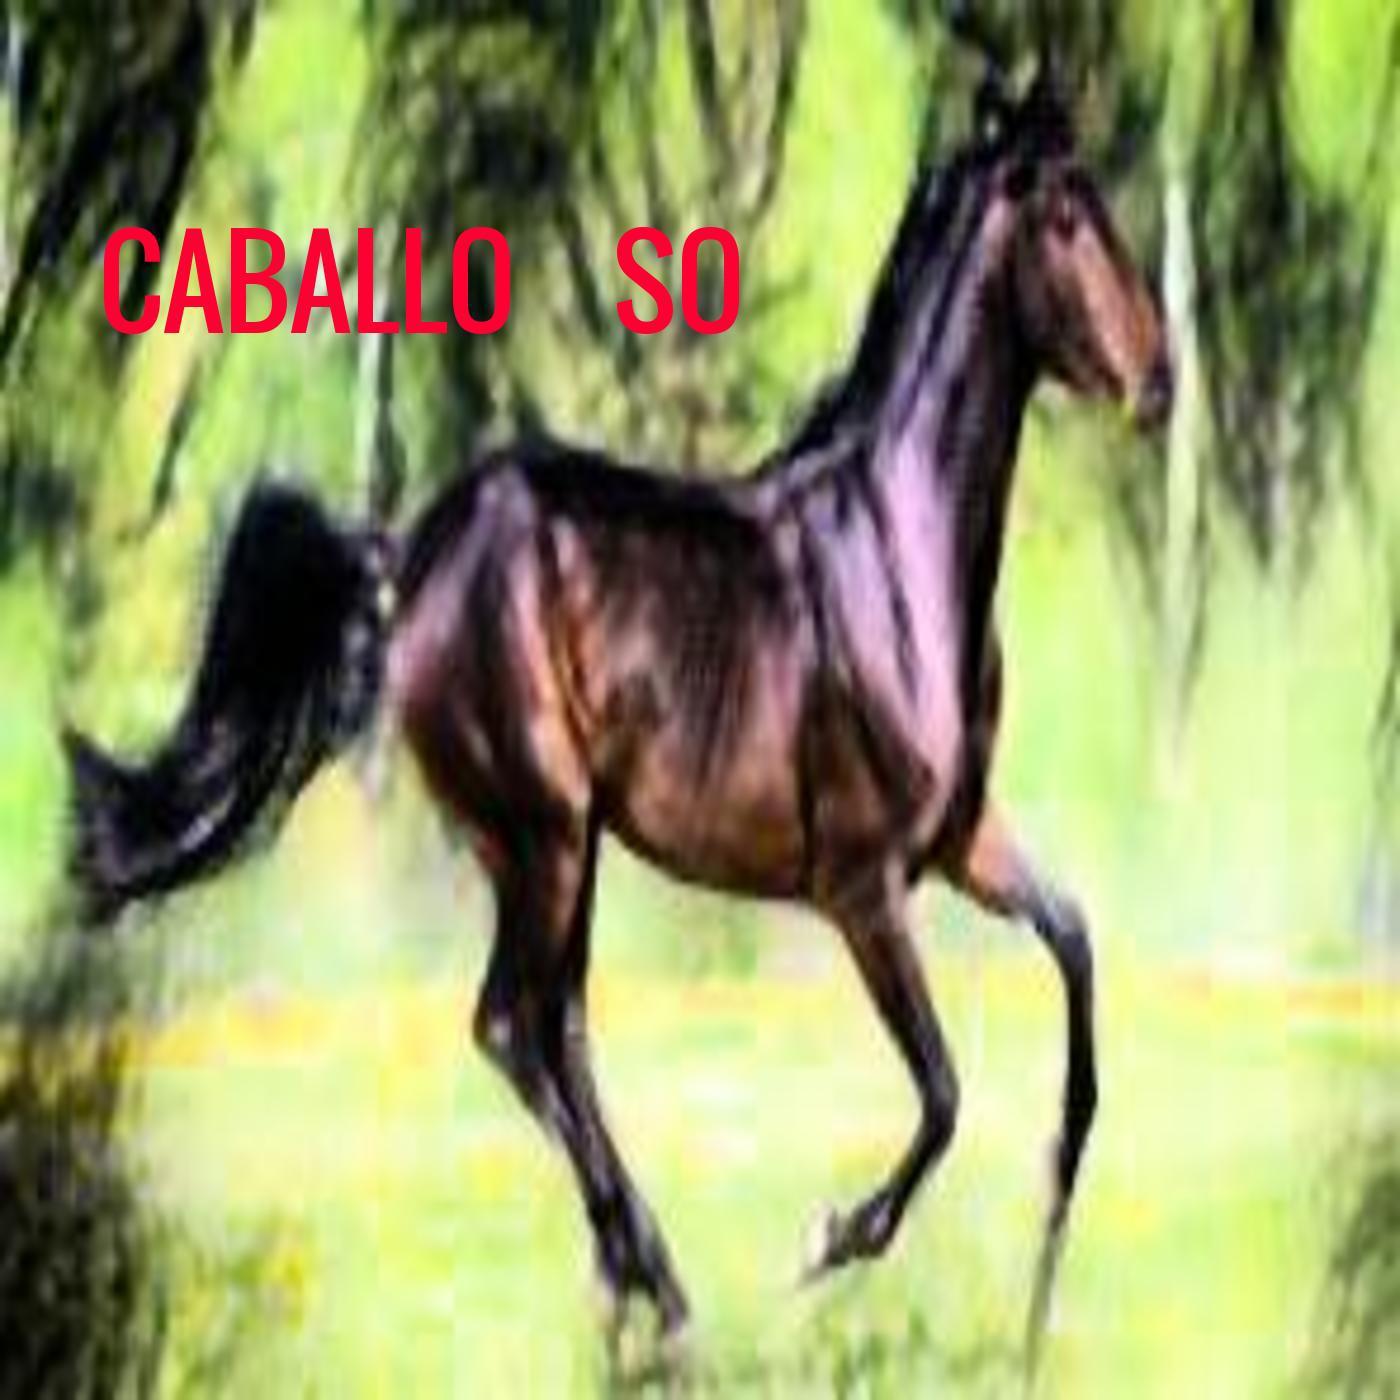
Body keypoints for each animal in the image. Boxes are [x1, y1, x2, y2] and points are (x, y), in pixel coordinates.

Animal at [64, 76, 1171, 1360]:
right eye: (1063, 219)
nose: (1157, 381)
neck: (897, 555)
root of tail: (411, 555)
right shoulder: (861, 885)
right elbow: (940, 1090)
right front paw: (827, 1240)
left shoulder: (960, 842)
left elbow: (1075, 949)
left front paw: (1039, 1288)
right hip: (538, 833)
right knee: (511, 1025)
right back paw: (660, 1290)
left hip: (569, 847)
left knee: (561, 1034)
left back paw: (627, 1284)